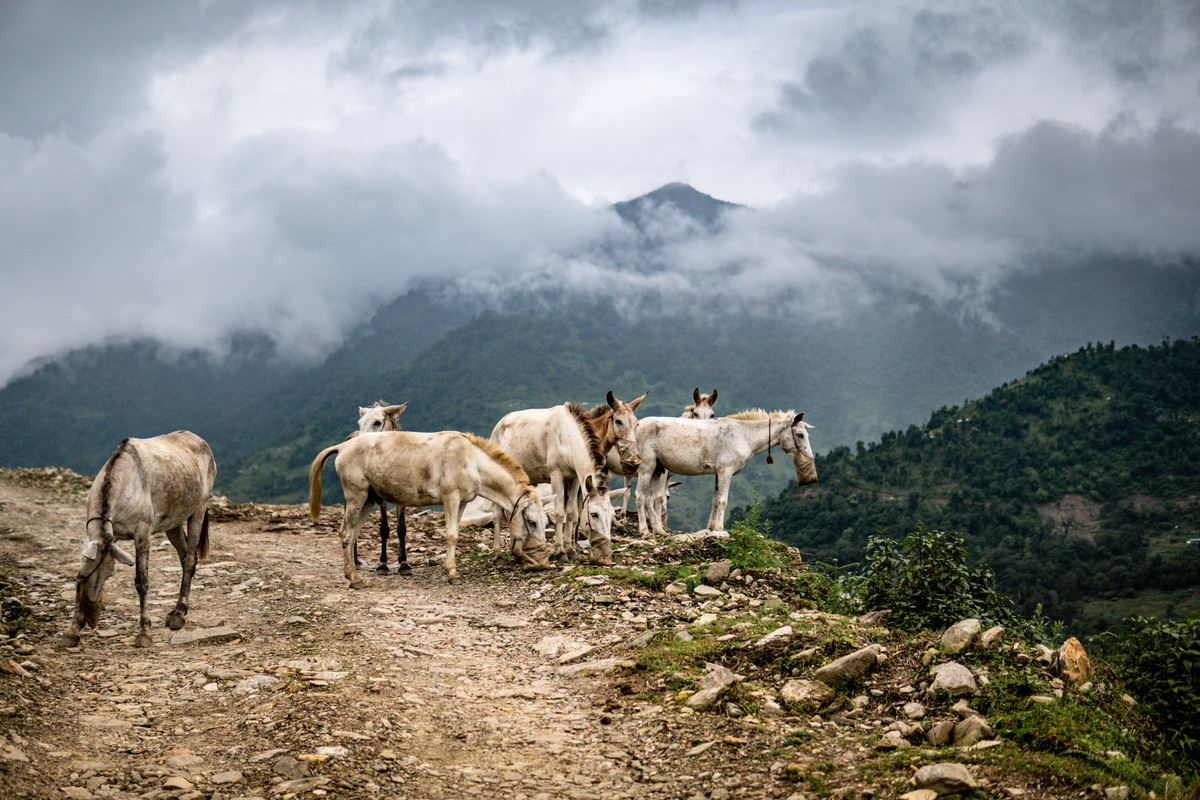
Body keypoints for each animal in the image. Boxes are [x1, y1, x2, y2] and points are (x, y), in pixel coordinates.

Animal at [60, 431, 217, 652]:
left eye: (110, 573)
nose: (91, 605)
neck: (124, 480)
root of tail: (199, 441)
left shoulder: (142, 533)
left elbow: (141, 581)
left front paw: (144, 632)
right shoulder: (107, 535)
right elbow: (78, 575)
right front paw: (72, 630)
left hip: (199, 509)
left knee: (189, 560)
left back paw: (179, 614)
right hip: (174, 522)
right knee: (186, 555)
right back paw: (177, 610)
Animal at [309, 431, 552, 587]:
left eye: (546, 523)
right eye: (531, 522)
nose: (542, 564)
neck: (472, 462)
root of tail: (343, 446)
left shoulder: (462, 502)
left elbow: (455, 533)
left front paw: (450, 569)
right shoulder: (451, 498)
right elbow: (452, 535)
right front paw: (453, 574)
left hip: (368, 499)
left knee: (352, 535)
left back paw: (352, 575)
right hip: (356, 495)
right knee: (346, 533)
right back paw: (354, 579)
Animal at [492, 402, 614, 566]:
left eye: (612, 514)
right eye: (594, 514)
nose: (606, 555)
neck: (567, 438)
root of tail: (498, 425)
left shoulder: (574, 478)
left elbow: (571, 514)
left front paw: (571, 551)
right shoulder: (556, 476)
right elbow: (560, 514)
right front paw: (561, 552)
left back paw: (517, 553)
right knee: (497, 515)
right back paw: (498, 555)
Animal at [628, 412, 816, 537]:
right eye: (800, 435)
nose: (809, 459)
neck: (742, 435)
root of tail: (636, 426)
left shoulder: (718, 473)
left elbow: (715, 499)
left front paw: (711, 527)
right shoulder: (726, 471)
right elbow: (723, 500)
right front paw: (720, 528)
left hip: (657, 469)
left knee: (650, 498)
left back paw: (659, 530)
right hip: (646, 467)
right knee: (640, 496)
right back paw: (645, 531)